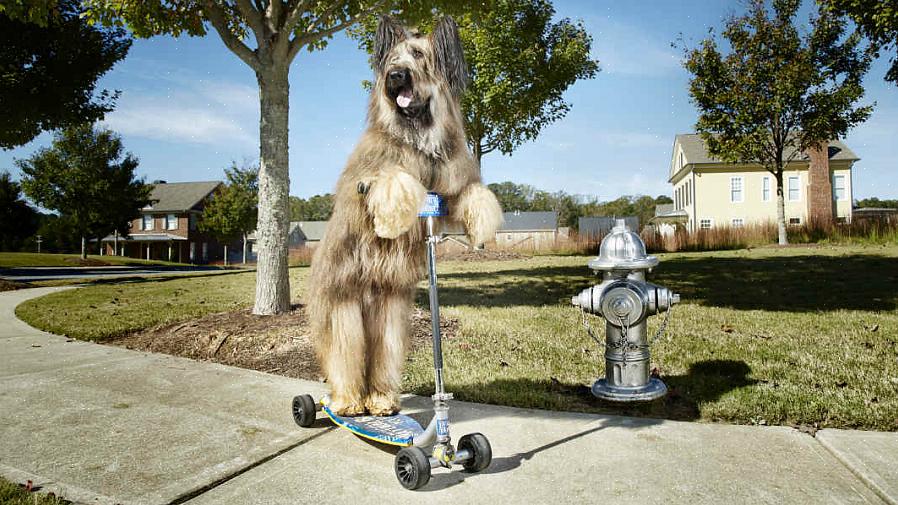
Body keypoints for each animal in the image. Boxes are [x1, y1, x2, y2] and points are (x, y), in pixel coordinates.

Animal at [308, 15, 500, 418]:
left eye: (418, 55)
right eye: (392, 59)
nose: (395, 76)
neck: (418, 138)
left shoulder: (452, 184)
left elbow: (473, 192)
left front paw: (481, 225)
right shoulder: (370, 178)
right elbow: (396, 179)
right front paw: (391, 219)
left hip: (390, 313)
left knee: (384, 354)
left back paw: (381, 400)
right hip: (343, 306)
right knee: (344, 356)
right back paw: (347, 402)